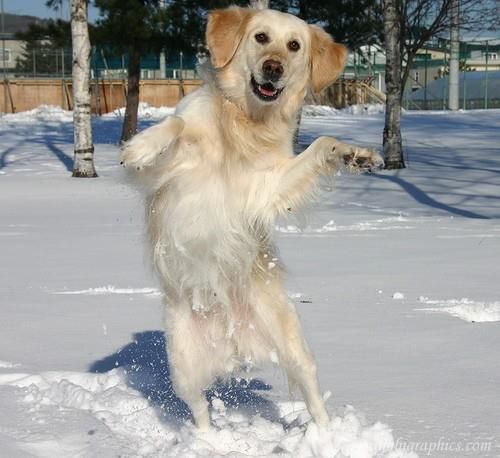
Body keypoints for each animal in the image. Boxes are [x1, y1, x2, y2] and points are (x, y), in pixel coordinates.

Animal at [122, 0, 382, 432]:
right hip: (183, 363)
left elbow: (322, 143)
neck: (244, 121)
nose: (273, 67)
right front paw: (141, 145)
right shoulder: (158, 177)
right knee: (200, 411)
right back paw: (210, 442)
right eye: (261, 37)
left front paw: (353, 153)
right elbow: (176, 123)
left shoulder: (267, 188)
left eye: (294, 45)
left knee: (313, 395)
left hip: (293, 343)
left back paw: (328, 437)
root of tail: (233, 337)